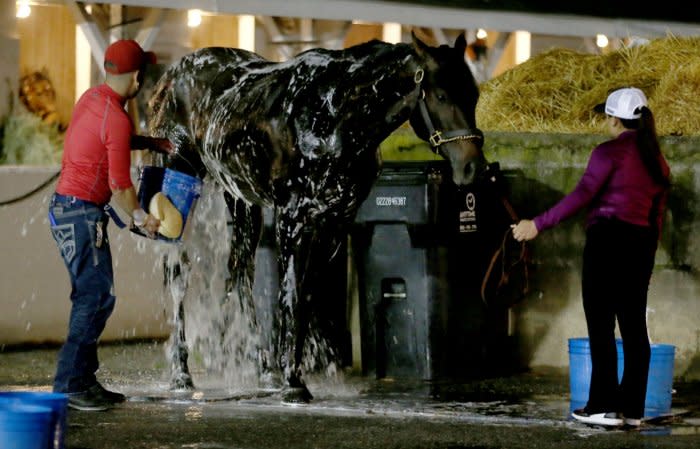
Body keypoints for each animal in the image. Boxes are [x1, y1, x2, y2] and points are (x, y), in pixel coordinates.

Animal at [146, 32, 486, 402]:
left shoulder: (334, 222)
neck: (335, 113)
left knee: (240, 274)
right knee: (177, 274)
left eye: (474, 94)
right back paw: (182, 373)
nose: (472, 167)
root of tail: (169, 77)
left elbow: (308, 297)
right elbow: (290, 295)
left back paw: (263, 370)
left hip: (241, 200)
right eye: (441, 95)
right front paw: (293, 383)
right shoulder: (292, 218)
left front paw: (290, 374)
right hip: (179, 187)